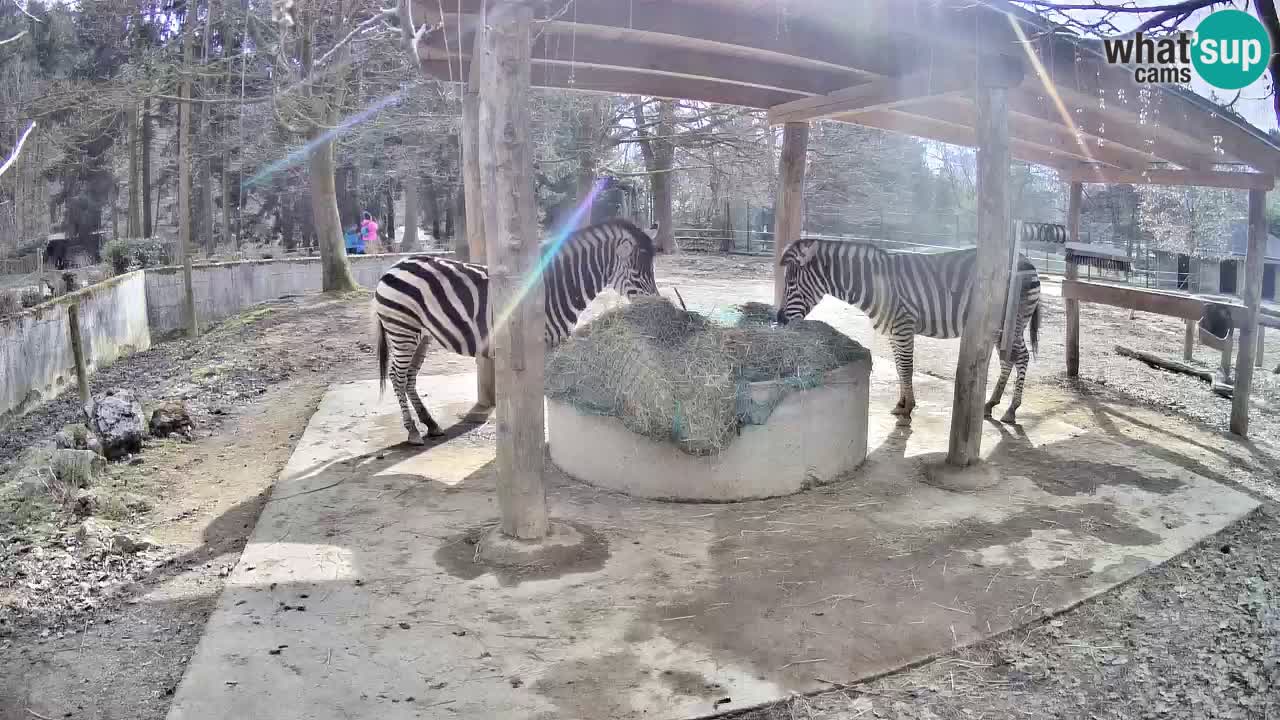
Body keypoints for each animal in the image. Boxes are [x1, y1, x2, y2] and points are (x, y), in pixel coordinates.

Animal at [373, 219, 660, 443]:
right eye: (638, 272)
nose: (656, 303)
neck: (557, 287)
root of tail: (394, 266)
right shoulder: (542, 343)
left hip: (421, 335)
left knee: (410, 377)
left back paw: (431, 425)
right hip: (402, 329)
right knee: (398, 376)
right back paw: (412, 431)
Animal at [773, 238, 1044, 422]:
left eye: (791, 283)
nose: (779, 319)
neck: (875, 284)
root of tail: (1028, 261)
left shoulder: (903, 326)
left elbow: (906, 367)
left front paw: (908, 408)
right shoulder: (894, 331)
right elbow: (898, 368)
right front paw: (902, 403)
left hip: (1013, 321)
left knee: (1021, 357)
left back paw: (1011, 409)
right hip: (999, 327)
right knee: (1008, 360)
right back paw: (990, 404)